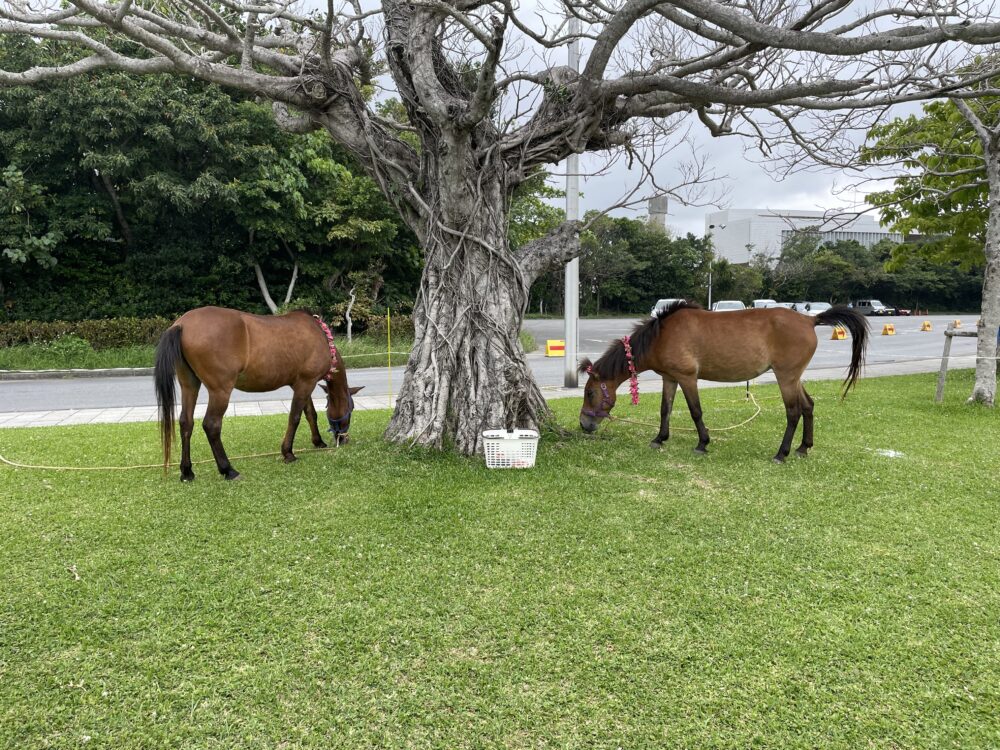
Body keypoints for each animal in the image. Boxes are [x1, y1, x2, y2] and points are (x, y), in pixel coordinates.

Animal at [153, 306, 364, 482]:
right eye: (351, 407)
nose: (343, 439)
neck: (321, 336)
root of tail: (182, 324)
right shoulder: (306, 383)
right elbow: (295, 417)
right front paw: (288, 453)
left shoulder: (302, 384)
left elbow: (310, 414)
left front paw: (318, 441)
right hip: (220, 390)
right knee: (211, 425)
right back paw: (228, 470)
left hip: (189, 385)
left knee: (186, 423)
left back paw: (187, 471)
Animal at [580, 302, 868, 462]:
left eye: (591, 393)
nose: (584, 425)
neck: (661, 335)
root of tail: (810, 319)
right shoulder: (670, 378)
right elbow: (665, 410)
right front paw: (660, 438)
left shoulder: (687, 378)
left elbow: (695, 411)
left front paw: (702, 443)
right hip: (795, 377)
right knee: (808, 406)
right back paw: (803, 448)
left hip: (786, 377)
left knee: (793, 412)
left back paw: (781, 453)